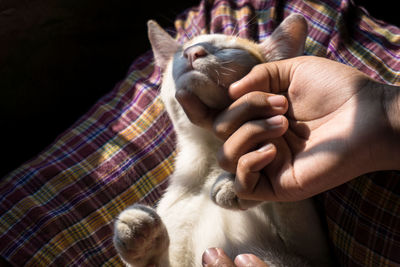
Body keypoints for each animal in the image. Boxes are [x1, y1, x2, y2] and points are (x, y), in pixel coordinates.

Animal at [112, 14, 332, 267]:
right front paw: (143, 239)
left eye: (229, 49)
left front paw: (241, 180)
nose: (193, 52)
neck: (212, 156)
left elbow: (290, 201)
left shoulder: (312, 252)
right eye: (183, 50)